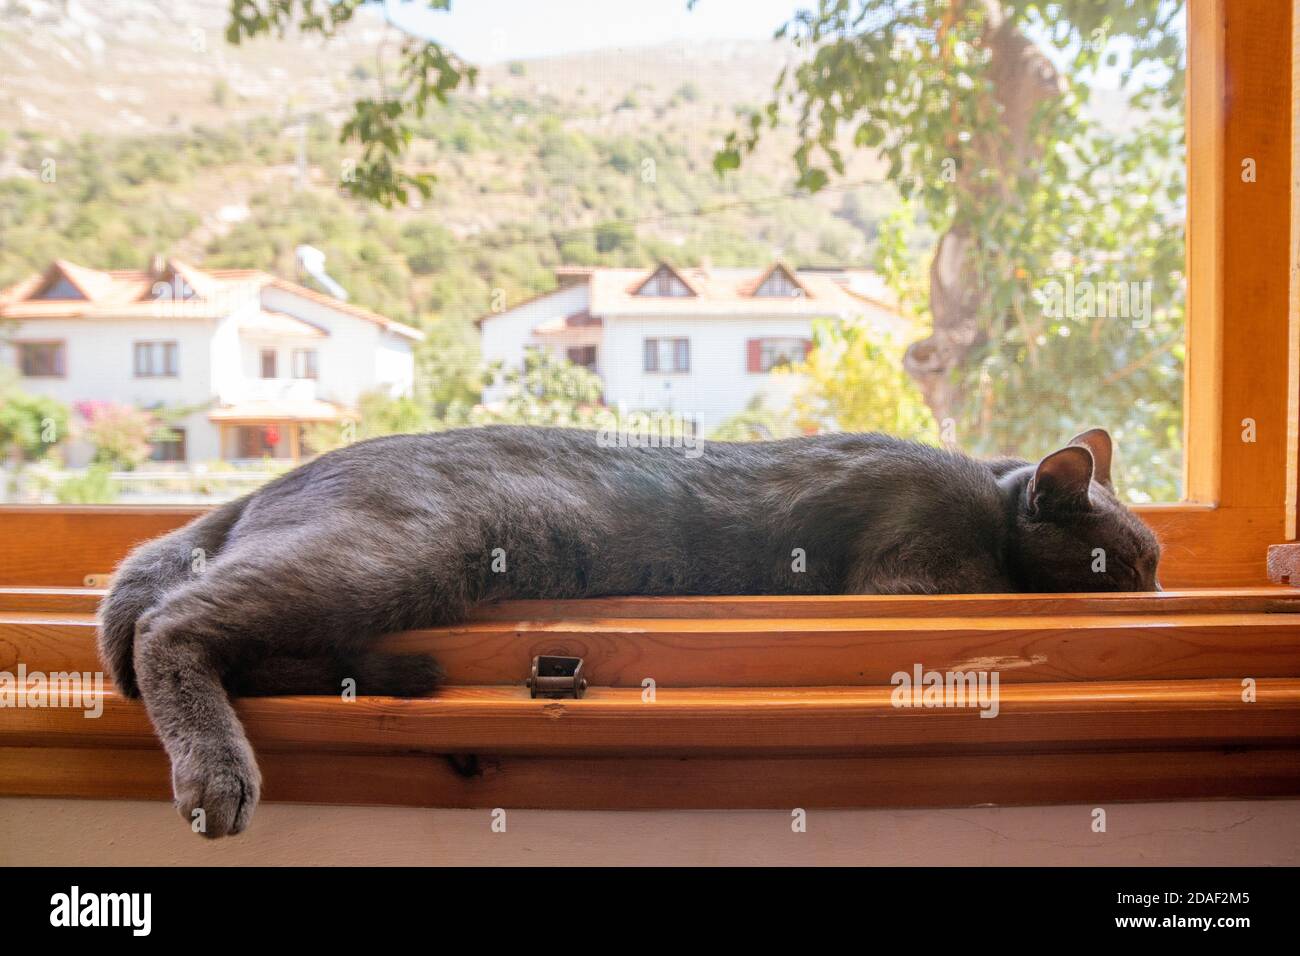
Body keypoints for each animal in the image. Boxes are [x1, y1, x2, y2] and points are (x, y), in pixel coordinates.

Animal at [101, 426, 1159, 837]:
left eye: (1156, 560)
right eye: (1124, 563)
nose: (1157, 594)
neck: (989, 495)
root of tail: (278, 478)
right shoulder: (908, 572)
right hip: (401, 550)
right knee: (168, 622)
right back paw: (217, 772)